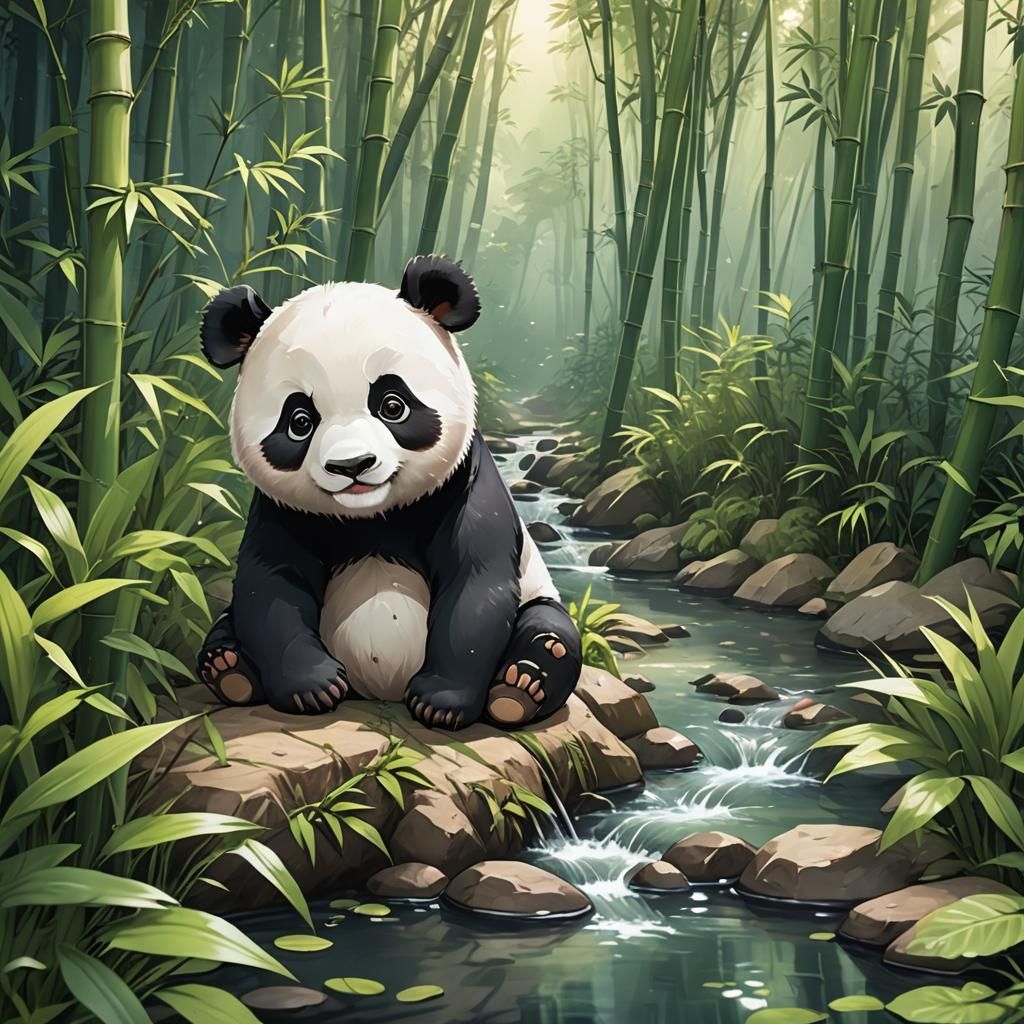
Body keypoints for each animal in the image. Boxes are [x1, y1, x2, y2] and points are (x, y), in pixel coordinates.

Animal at [196, 255, 582, 731]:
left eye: (392, 404)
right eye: (300, 421)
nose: (352, 465)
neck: (372, 515)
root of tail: (380, 689)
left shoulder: (466, 487)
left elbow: (475, 584)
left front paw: (441, 702)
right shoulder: (282, 510)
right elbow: (272, 583)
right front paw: (313, 687)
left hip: (538, 594)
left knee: (550, 627)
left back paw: (521, 685)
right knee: (226, 625)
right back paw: (229, 669)